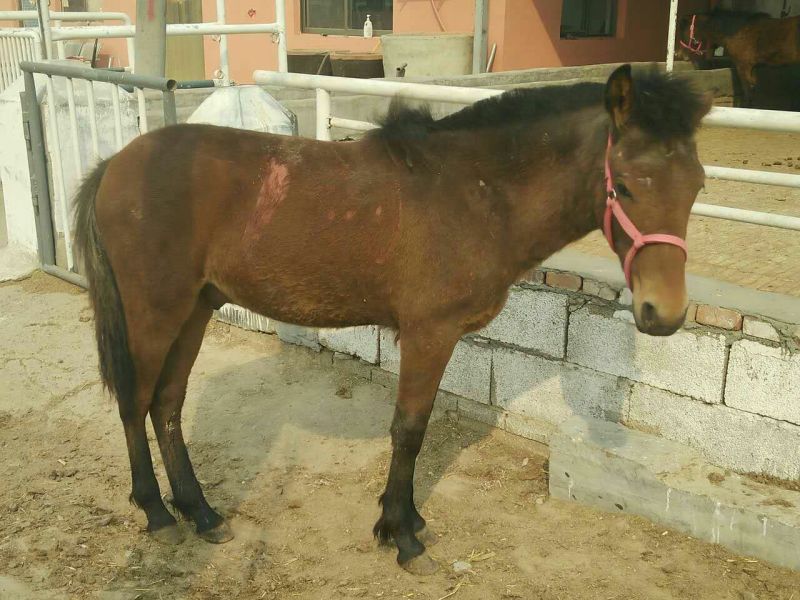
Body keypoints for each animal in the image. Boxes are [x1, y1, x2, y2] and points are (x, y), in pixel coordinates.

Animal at [73, 64, 710, 575]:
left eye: (697, 185)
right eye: (623, 185)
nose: (665, 313)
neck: (475, 190)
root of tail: (114, 165)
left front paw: (405, 520)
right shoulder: (430, 335)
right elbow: (410, 430)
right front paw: (401, 535)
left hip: (196, 309)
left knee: (167, 404)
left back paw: (200, 511)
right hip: (155, 312)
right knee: (136, 402)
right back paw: (157, 513)